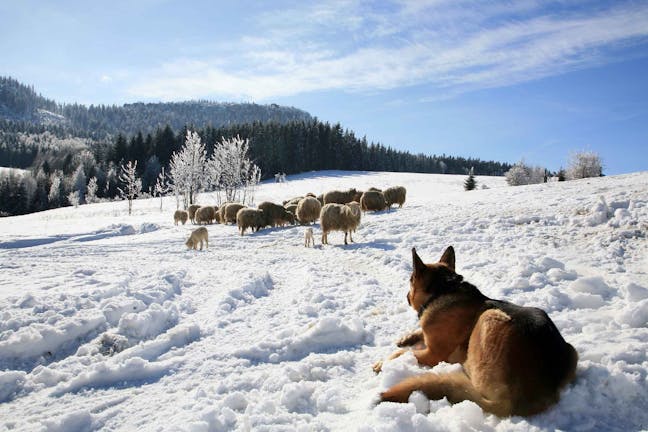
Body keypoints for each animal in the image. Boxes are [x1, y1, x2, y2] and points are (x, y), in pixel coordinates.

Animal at [374, 248, 576, 416]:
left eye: (410, 281)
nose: (406, 296)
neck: (444, 290)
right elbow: (417, 334)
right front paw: (406, 338)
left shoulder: (432, 354)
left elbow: (403, 353)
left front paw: (383, 362)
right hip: (570, 348)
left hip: (488, 317)